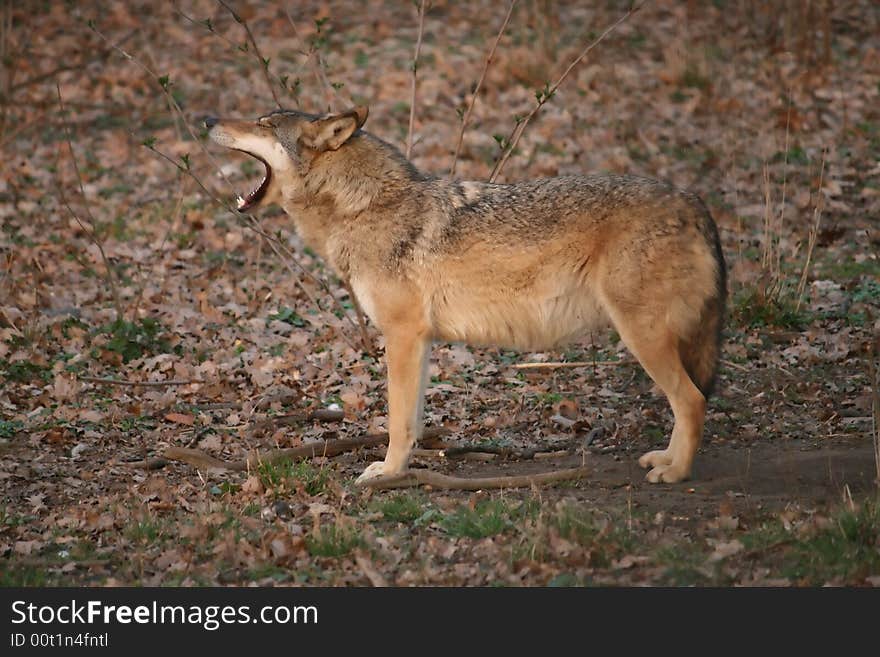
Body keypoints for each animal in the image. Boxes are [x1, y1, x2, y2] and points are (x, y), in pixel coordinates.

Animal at [205, 106, 720, 482]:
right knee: (690, 402)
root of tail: (694, 201)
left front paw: (386, 474)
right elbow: (412, 419)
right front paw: (401, 468)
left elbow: (397, 418)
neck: (363, 206)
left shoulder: (402, 336)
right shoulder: (420, 341)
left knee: (692, 402)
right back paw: (665, 460)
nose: (207, 120)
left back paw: (676, 473)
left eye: (264, 124)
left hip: (642, 336)